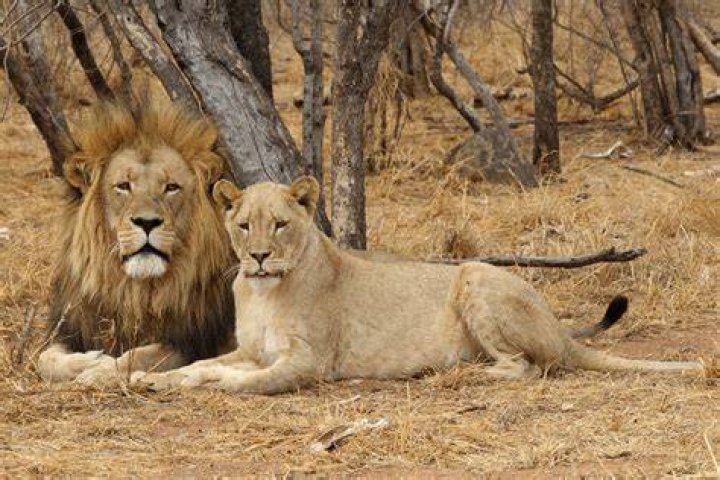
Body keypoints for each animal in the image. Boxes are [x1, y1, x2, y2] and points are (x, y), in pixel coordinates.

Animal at [37, 100, 236, 385]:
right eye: (123, 185)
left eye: (171, 187)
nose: (147, 222)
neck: (134, 291)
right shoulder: (72, 328)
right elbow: (46, 358)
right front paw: (88, 361)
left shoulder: (189, 343)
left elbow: (138, 356)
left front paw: (99, 370)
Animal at [133, 177, 703, 394]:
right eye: (243, 225)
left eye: (280, 225)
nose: (258, 256)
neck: (263, 290)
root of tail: (560, 329)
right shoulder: (252, 350)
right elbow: (205, 363)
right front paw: (155, 378)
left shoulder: (309, 362)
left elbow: (243, 380)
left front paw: (210, 384)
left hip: (474, 274)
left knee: (525, 367)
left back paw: (455, 373)